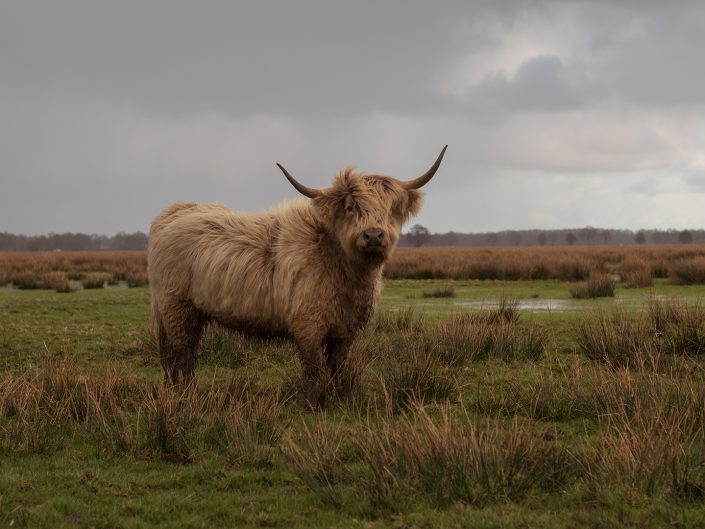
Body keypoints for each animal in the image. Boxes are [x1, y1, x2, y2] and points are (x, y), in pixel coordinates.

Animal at [148, 146, 446, 406]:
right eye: (350, 206)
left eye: (390, 208)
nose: (373, 235)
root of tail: (173, 212)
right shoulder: (308, 324)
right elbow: (314, 367)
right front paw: (314, 404)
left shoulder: (345, 328)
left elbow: (337, 365)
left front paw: (339, 398)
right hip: (177, 308)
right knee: (183, 354)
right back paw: (188, 396)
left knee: (172, 356)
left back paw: (173, 392)